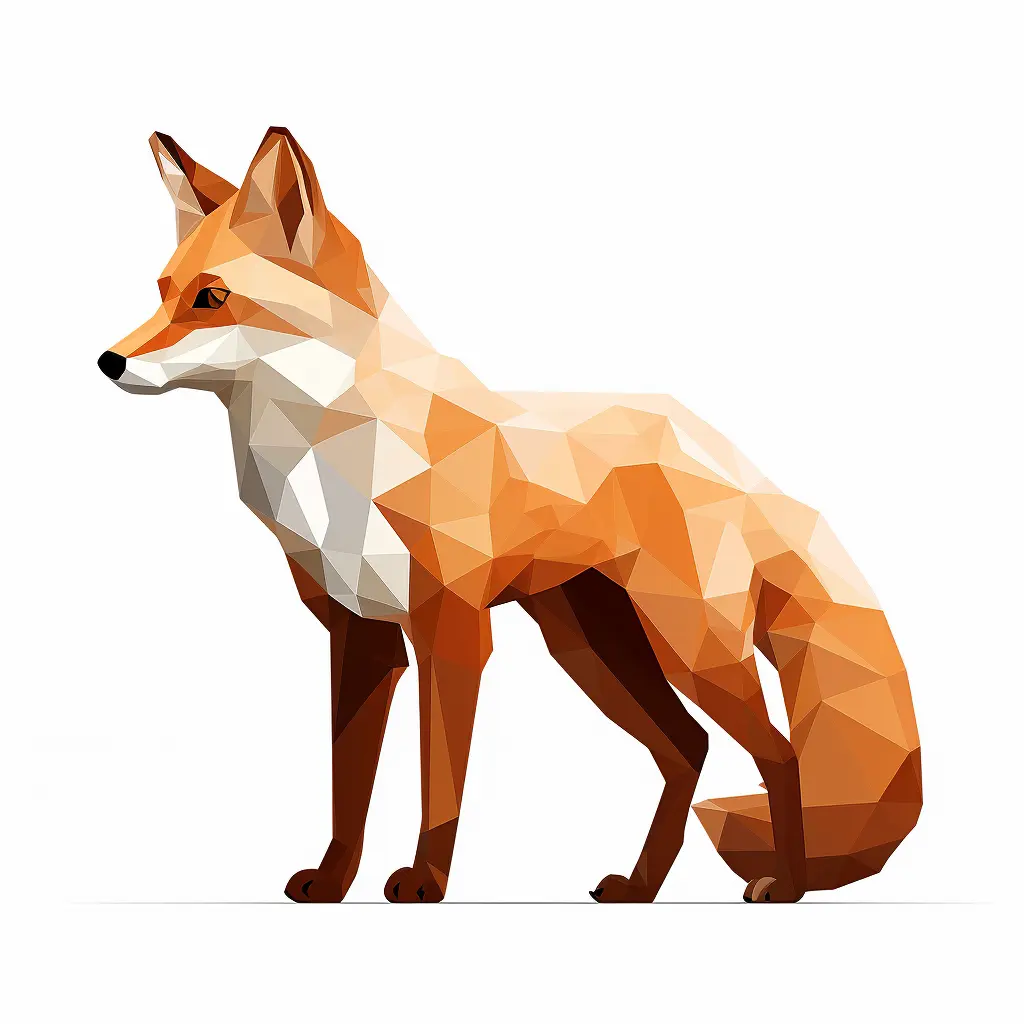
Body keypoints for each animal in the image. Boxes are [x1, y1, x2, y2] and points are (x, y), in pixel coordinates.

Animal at [98, 127, 921, 903]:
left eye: (210, 299)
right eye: (161, 290)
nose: (109, 361)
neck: (334, 455)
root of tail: (718, 447)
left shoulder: (452, 630)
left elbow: (439, 787)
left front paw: (425, 883)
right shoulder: (360, 639)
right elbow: (347, 793)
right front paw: (333, 884)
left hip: (690, 649)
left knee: (779, 756)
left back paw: (788, 885)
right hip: (593, 649)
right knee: (689, 750)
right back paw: (641, 888)